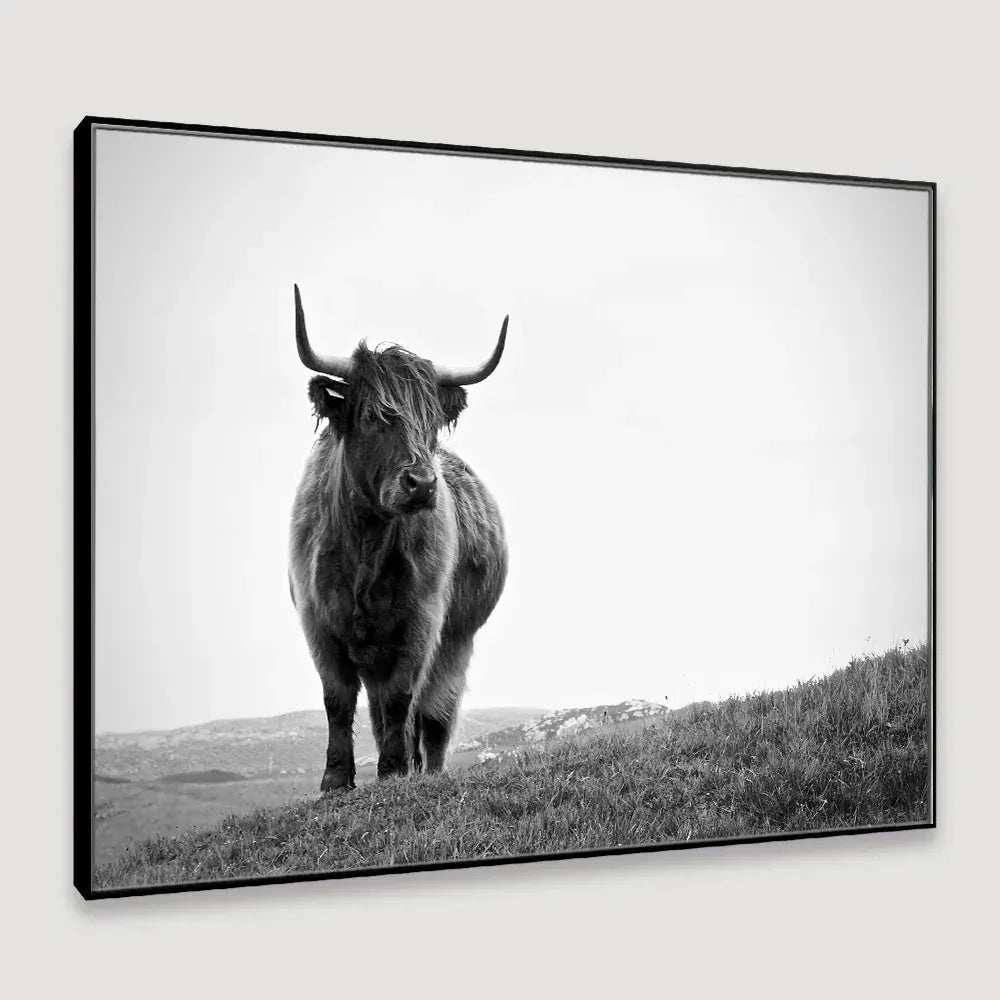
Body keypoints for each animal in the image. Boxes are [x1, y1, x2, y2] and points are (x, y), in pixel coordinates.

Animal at [288, 286, 509, 794]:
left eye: (430, 423)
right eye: (374, 417)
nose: (422, 484)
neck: (365, 545)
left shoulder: (421, 622)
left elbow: (401, 698)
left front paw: (391, 771)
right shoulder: (318, 621)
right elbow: (337, 699)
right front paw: (335, 780)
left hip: (457, 641)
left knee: (433, 716)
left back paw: (424, 769)